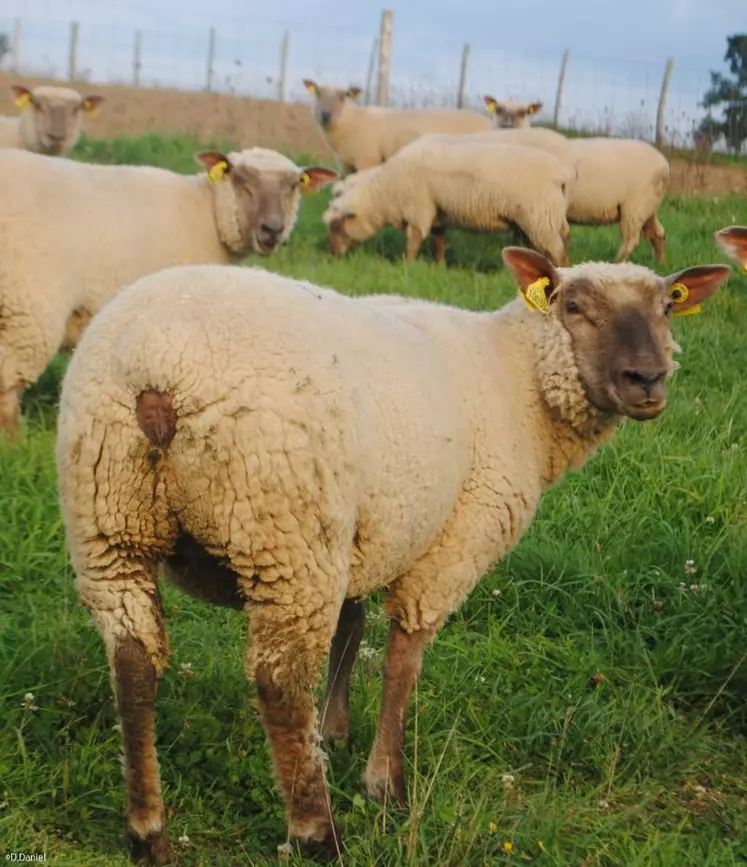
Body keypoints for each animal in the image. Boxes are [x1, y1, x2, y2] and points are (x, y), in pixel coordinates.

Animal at [0, 147, 336, 440]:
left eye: (293, 185)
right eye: (240, 179)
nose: (272, 229)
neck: (206, 213)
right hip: (26, 311)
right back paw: (15, 440)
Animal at [57, 246, 732, 860]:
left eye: (667, 309)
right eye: (573, 307)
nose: (647, 380)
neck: (518, 379)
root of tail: (159, 370)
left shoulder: (364, 537)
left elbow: (350, 630)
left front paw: (334, 733)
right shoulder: (456, 540)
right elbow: (403, 659)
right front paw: (386, 785)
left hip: (111, 524)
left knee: (133, 662)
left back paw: (148, 832)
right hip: (288, 532)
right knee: (278, 681)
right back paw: (316, 833)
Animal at [300, 79, 494, 174]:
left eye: (343, 97)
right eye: (318, 94)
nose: (325, 114)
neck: (352, 120)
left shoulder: (368, 160)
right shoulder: (347, 166)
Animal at [324, 132, 576, 266]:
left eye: (337, 226)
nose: (332, 255)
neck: (386, 190)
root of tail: (562, 175)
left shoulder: (419, 207)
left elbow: (414, 240)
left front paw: (405, 265)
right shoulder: (438, 211)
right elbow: (438, 240)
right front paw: (439, 266)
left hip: (540, 217)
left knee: (558, 252)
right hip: (549, 217)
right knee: (561, 239)